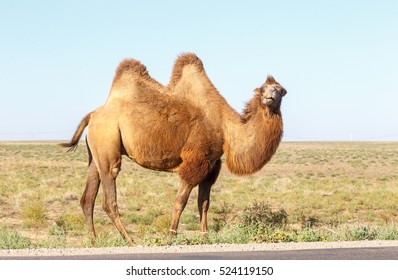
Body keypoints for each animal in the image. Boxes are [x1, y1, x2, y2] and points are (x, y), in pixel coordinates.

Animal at [59, 53, 286, 245]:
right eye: (263, 89)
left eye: (280, 90)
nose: (269, 98)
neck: (225, 128)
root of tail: (92, 115)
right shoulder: (195, 162)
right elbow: (180, 202)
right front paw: (171, 236)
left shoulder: (211, 165)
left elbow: (204, 203)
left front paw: (205, 236)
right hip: (107, 142)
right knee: (109, 196)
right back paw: (130, 240)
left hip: (95, 152)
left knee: (87, 198)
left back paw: (94, 240)